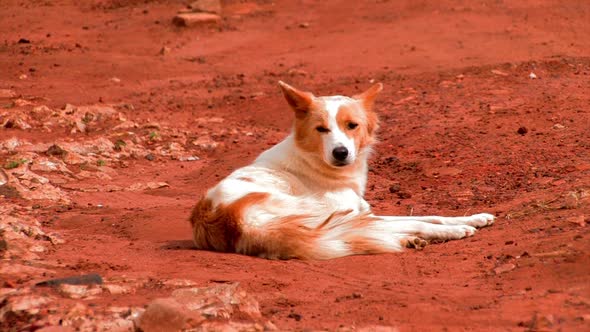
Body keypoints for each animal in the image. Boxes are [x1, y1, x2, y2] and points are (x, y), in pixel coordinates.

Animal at [191, 80, 494, 260]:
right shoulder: (353, 215)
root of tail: (227, 218)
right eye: (321, 129)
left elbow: (432, 214)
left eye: (352, 125)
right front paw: (460, 228)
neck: (313, 161)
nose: (341, 152)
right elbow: (421, 219)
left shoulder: (364, 213)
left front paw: (476, 217)